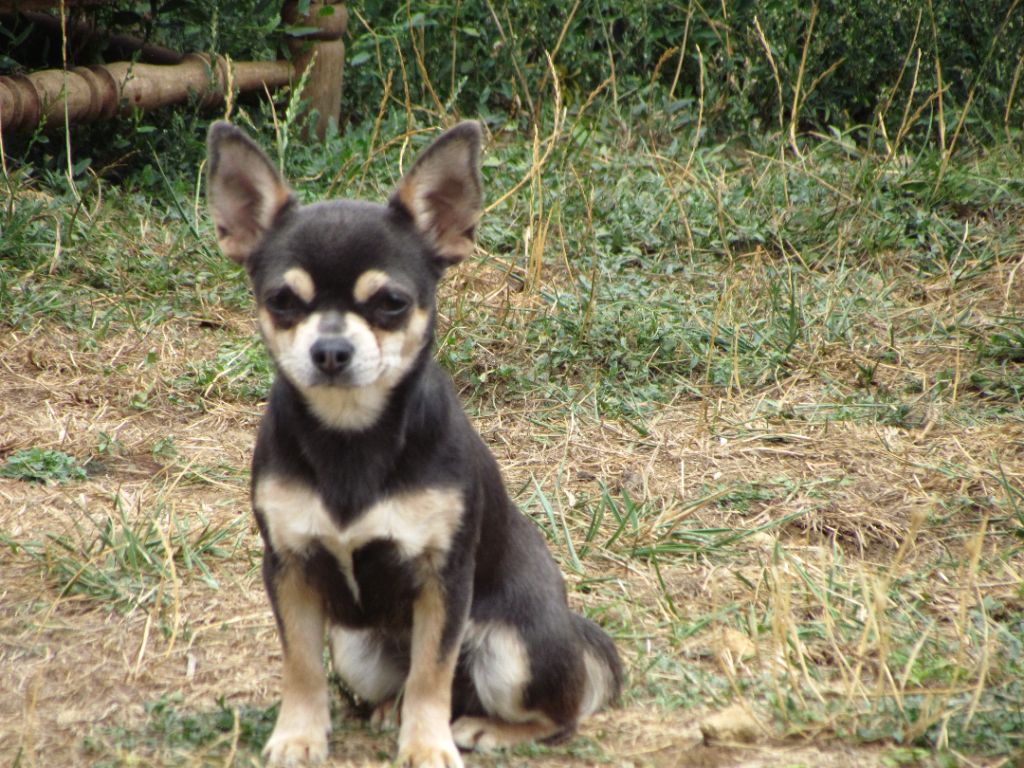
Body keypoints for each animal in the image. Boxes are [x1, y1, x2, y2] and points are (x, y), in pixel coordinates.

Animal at [203, 121, 618, 768]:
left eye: (391, 303)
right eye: (283, 301)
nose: (330, 351)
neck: (352, 439)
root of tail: (573, 628)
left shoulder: (443, 582)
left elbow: (431, 673)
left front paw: (427, 745)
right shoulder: (289, 570)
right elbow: (302, 665)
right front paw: (298, 736)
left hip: (511, 651)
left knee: (556, 714)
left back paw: (482, 729)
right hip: (357, 649)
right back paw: (385, 713)